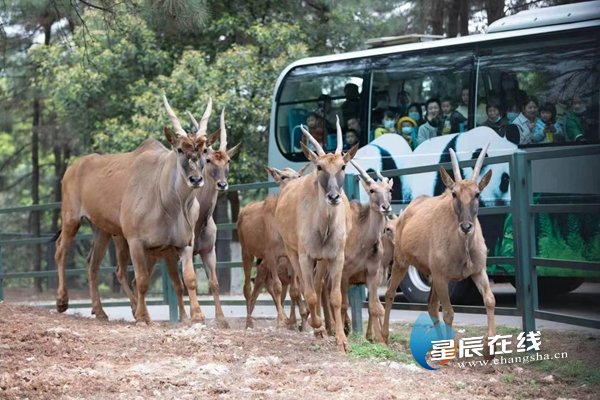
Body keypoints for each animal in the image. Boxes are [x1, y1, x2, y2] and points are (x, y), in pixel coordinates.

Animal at [56, 95, 211, 324]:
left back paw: (100, 311)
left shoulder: (184, 244)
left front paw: (198, 315)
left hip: (101, 229)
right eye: (180, 149)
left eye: (203, 150)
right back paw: (61, 301)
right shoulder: (136, 242)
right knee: (61, 250)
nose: (196, 179)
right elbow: (142, 280)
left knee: (92, 264)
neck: (171, 204)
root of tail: (73, 167)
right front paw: (142, 316)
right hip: (71, 219)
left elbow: (189, 279)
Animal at [237, 165, 308, 328]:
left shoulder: (289, 255)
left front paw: (296, 323)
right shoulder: (270, 254)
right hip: (246, 252)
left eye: (298, 175)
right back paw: (249, 322)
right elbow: (277, 286)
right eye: (283, 176)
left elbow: (295, 290)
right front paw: (281, 320)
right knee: (248, 288)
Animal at [276, 117, 356, 352]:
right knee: (304, 286)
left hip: (322, 260)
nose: (333, 197)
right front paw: (318, 326)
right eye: (319, 166)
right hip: (292, 252)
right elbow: (309, 293)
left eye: (343, 166)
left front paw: (342, 339)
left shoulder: (336, 256)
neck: (324, 227)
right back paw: (316, 325)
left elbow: (335, 296)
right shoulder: (304, 255)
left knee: (319, 285)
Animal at [384, 145, 496, 356]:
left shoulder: (478, 271)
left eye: (477, 193)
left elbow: (490, 300)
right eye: (454, 193)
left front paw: (489, 350)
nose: (466, 227)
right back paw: (383, 336)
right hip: (402, 263)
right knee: (390, 293)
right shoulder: (442, 277)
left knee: (431, 307)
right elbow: (450, 313)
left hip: (432, 276)